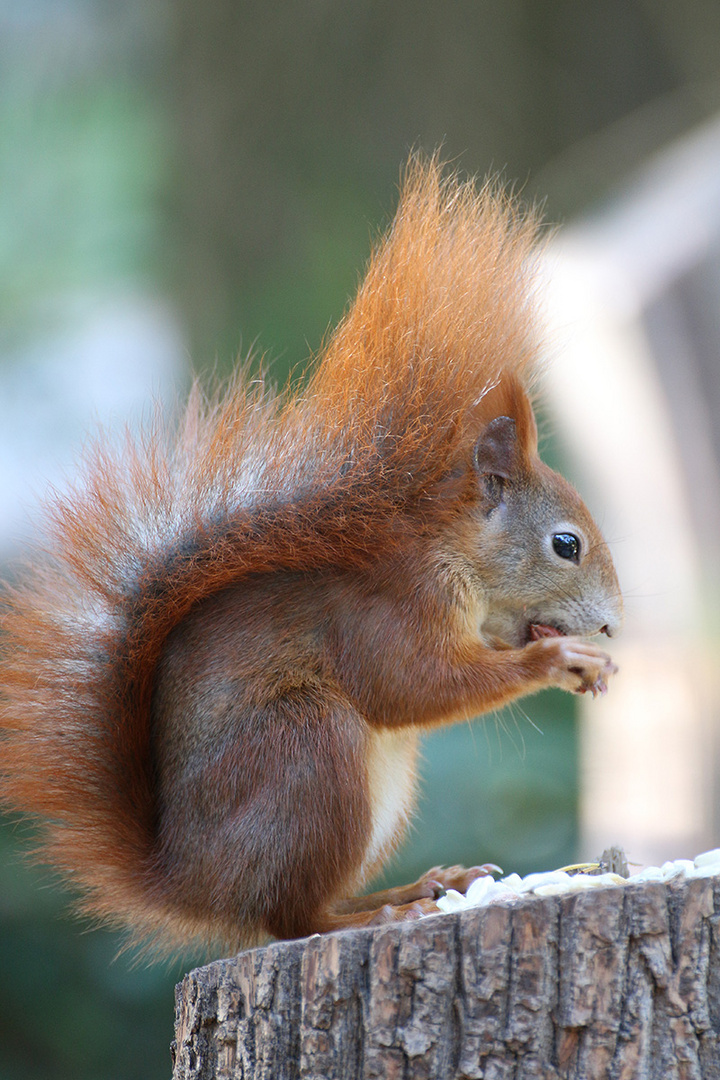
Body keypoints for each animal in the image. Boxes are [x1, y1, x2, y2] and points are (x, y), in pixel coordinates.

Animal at [0, 157, 621, 954]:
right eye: (565, 544)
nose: (609, 626)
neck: (455, 562)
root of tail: (188, 882)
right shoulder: (389, 608)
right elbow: (410, 686)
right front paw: (556, 659)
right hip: (306, 750)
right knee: (291, 917)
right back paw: (390, 911)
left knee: (304, 909)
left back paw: (418, 887)